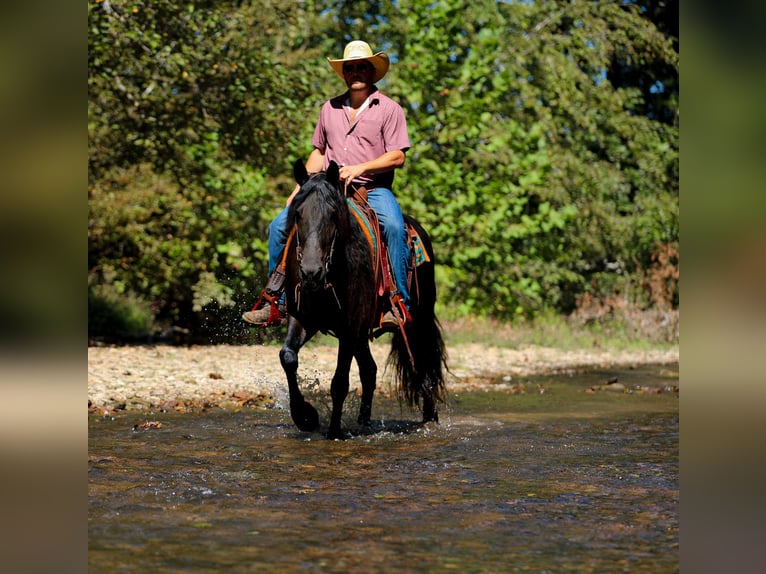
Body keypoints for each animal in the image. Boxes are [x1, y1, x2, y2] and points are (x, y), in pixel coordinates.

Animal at [278, 159, 447, 439]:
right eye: (298, 214)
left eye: (333, 214)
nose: (311, 272)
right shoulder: (302, 317)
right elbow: (288, 358)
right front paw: (305, 416)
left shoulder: (349, 326)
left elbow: (339, 382)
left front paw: (334, 431)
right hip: (363, 332)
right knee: (370, 371)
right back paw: (364, 422)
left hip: (418, 321)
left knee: (424, 367)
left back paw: (430, 419)